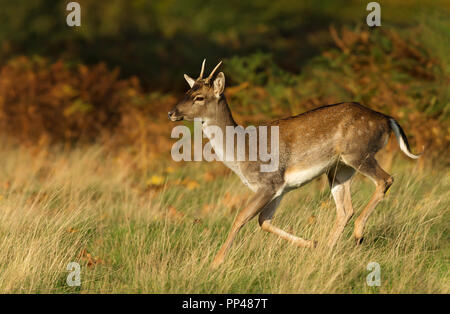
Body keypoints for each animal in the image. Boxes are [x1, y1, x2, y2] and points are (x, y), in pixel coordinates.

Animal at [168, 59, 422, 268]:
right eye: (187, 90)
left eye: (199, 97)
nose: (172, 112)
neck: (243, 152)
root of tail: (387, 119)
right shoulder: (280, 188)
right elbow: (263, 221)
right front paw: (312, 244)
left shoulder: (268, 181)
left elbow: (241, 217)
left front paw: (215, 263)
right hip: (339, 170)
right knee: (345, 209)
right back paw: (326, 249)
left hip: (358, 153)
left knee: (385, 179)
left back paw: (358, 233)